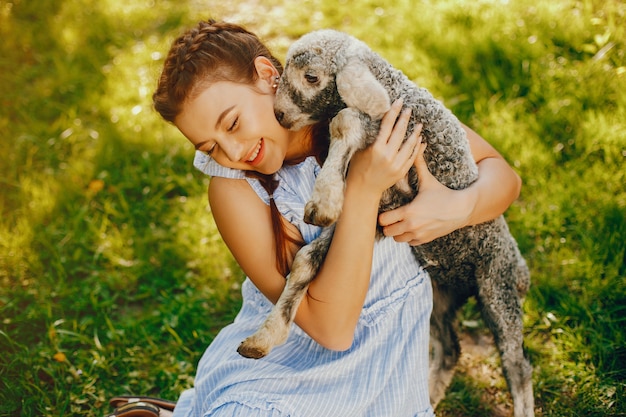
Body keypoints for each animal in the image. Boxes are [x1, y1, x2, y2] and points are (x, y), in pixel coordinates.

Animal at [236, 30, 532, 416]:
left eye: (311, 77)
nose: (279, 114)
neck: (393, 91)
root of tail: (521, 269)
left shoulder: (402, 140)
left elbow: (345, 119)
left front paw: (324, 198)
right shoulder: (379, 212)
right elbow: (304, 261)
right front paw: (264, 338)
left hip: (497, 286)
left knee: (516, 364)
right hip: (442, 293)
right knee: (450, 349)